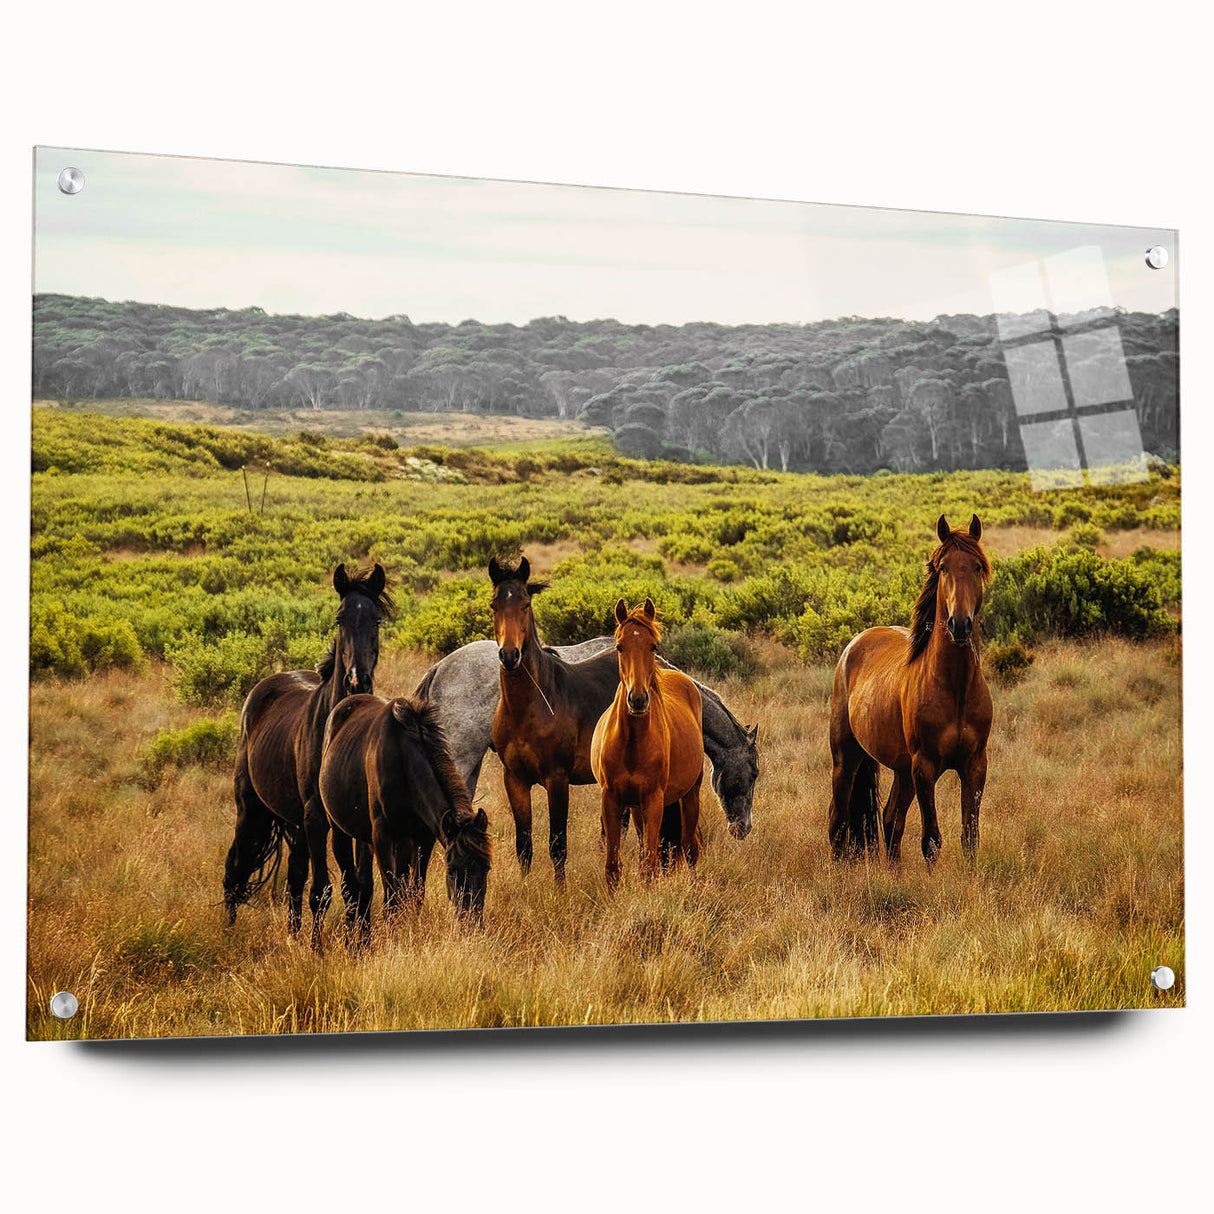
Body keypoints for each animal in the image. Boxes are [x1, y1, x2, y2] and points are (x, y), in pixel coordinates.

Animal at [223, 563, 393, 945]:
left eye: (375, 620)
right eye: (340, 618)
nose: (357, 680)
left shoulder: (355, 823)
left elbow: (359, 887)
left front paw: (359, 943)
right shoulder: (316, 817)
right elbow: (324, 890)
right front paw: (318, 950)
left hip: (296, 824)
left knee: (294, 877)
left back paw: (292, 933)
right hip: (253, 810)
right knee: (235, 867)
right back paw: (228, 931)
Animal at [319, 694, 491, 931]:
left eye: (486, 868)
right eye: (452, 870)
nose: (472, 923)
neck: (404, 762)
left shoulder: (423, 837)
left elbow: (415, 892)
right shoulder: (382, 836)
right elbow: (392, 896)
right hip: (340, 830)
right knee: (351, 884)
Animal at [591, 599, 705, 890]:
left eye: (652, 645)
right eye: (619, 646)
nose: (638, 699)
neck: (632, 742)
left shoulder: (654, 800)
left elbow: (650, 865)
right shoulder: (612, 799)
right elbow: (613, 865)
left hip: (690, 794)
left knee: (690, 848)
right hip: (636, 806)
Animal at [828, 514, 993, 866]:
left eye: (976, 566)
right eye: (943, 567)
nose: (960, 624)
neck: (955, 688)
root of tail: (855, 644)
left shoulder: (975, 765)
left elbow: (969, 837)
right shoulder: (925, 767)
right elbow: (931, 840)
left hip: (902, 770)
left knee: (891, 820)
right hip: (846, 758)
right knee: (838, 819)